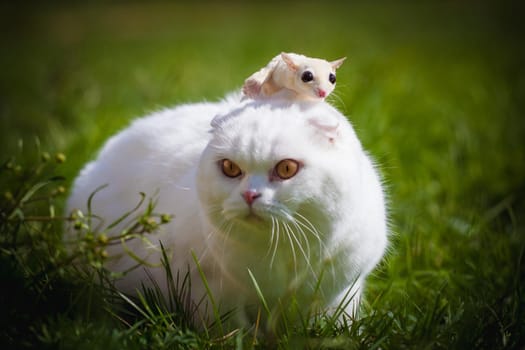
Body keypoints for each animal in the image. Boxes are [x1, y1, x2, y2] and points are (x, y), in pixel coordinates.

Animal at [65, 93, 386, 328]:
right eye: (230, 168)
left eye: (286, 168)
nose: (249, 195)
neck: (279, 249)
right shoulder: (207, 288)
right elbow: (229, 328)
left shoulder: (341, 290)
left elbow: (333, 323)